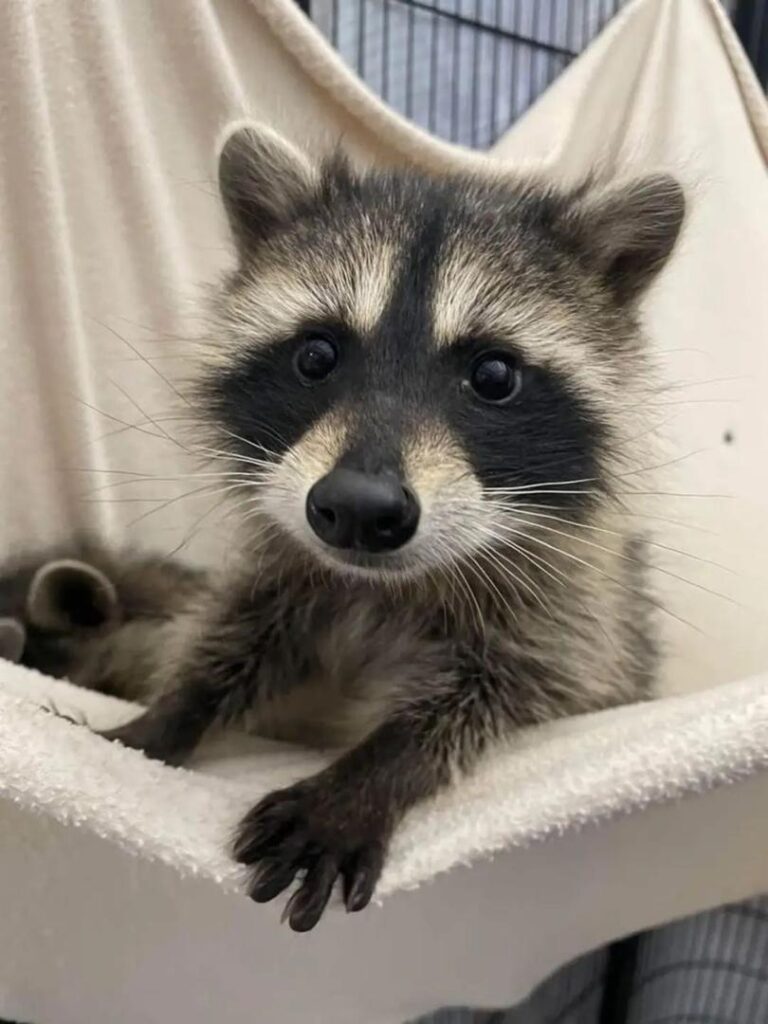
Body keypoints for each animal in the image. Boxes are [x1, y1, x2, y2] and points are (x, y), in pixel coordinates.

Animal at [96, 124, 685, 930]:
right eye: (316, 354)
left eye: (493, 376)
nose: (358, 507)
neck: (384, 587)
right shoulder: (284, 557)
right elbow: (236, 632)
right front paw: (168, 715)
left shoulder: (575, 605)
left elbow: (517, 687)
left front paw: (373, 771)